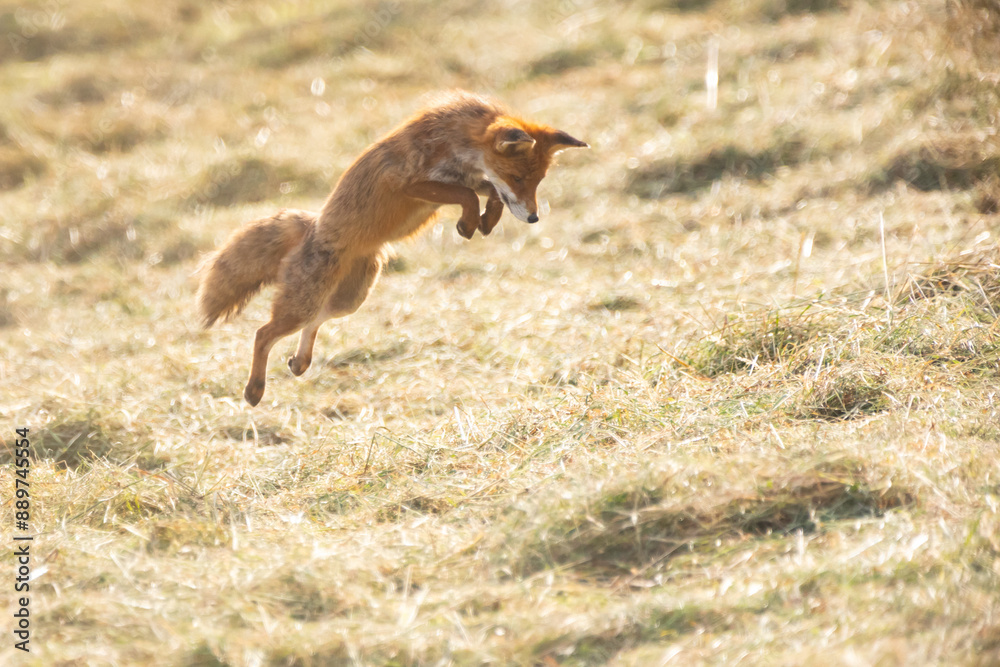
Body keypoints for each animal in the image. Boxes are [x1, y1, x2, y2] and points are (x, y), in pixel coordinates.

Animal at [197, 90, 588, 406]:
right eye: (518, 179)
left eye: (538, 182)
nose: (534, 218)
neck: (455, 142)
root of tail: (313, 227)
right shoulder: (410, 184)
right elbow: (466, 194)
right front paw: (469, 223)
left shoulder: (469, 180)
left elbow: (486, 192)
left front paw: (486, 221)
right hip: (306, 301)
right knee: (263, 333)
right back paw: (255, 389)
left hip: (350, 298)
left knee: (314, 322)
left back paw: (299, 362)